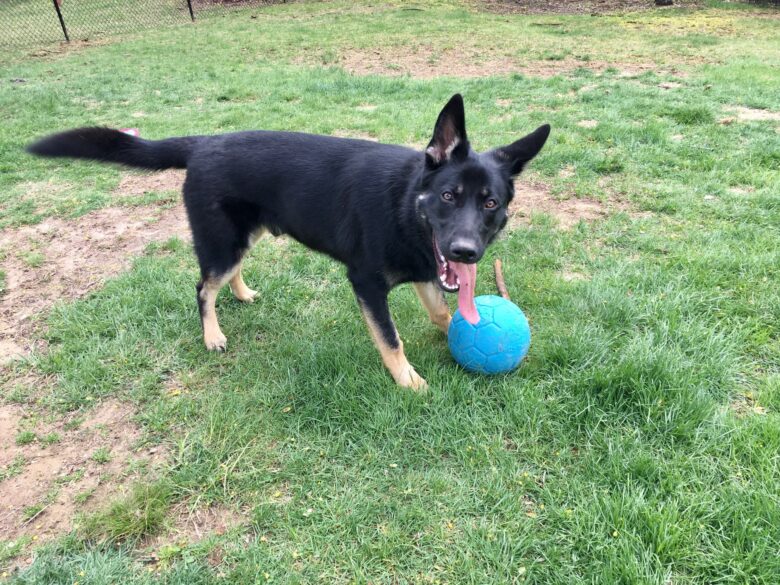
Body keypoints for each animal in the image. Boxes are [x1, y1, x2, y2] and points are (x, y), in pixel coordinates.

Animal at [29, 94, 548, 388]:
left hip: (246, 233)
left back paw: (241, 294)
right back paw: (213, 334)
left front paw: (452, 330)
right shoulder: (366, 283)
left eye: (489, 203)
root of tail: (203, 143)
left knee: (228, 275)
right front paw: (409, 382)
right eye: (447, 195)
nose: (465, 252)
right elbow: (391, 340)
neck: (405, 204)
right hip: (222, 242)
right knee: (203, 287)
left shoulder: (425, 268)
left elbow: (442, 310)